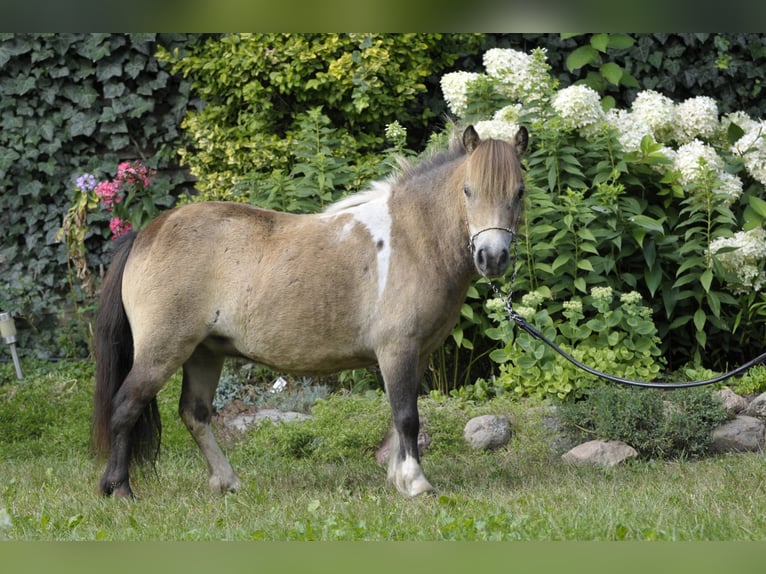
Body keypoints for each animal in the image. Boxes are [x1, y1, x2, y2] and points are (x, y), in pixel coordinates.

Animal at [93, 125, 532, 500]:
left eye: (520, 191)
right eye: (468, 190)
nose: (492, 257)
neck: (413, 238)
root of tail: (145, 234)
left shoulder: (415, 354)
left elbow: (399, 417)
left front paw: (398, 477)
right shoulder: (397, 350)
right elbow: (407, 416)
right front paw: (416, 483)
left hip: (205, 352)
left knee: (195, 414)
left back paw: (227, 481)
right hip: (163, 350)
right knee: (126, 406)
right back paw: (120, 489)